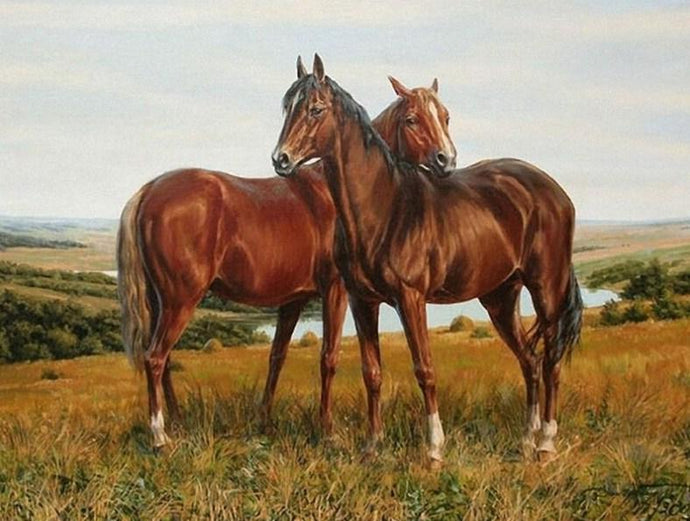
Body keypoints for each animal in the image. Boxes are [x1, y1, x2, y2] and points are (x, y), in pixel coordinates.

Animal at [117, 57, 457, 449]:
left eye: (445, 116)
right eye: (412, 119)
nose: (447, 160)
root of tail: (149, 191)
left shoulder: (293, 300)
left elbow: (277, 356)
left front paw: (264, 420)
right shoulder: (337, 292)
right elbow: (329, 357)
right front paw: (327, 429)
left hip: (161, 303)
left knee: (164, 360)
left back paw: (177, 420)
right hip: (180, 300)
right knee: (155, 357)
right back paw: (160, 436)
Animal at [272, 55, 582, 465]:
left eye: (315, 109)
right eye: (287, 107)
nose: (280, 159)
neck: (386, 208)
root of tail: (554, 191)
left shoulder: (411, 298)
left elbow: (425, 369)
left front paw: (434, 449)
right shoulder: (362, 301)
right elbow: (372, 372)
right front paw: (372, 445)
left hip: (547, 290)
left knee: (552, 361)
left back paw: (546, 442)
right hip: (500, 299)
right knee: (530, 361)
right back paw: (526, 440)